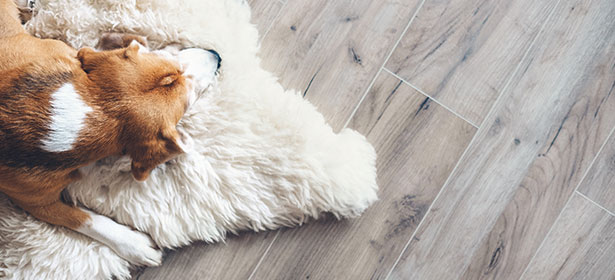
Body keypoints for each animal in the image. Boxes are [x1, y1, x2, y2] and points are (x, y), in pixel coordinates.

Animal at [0, 0, 221, 266]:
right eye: (191, 96)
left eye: (168, 60)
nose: (217, 56)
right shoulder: (36, 203)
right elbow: (84, 219)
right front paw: (134, 245)